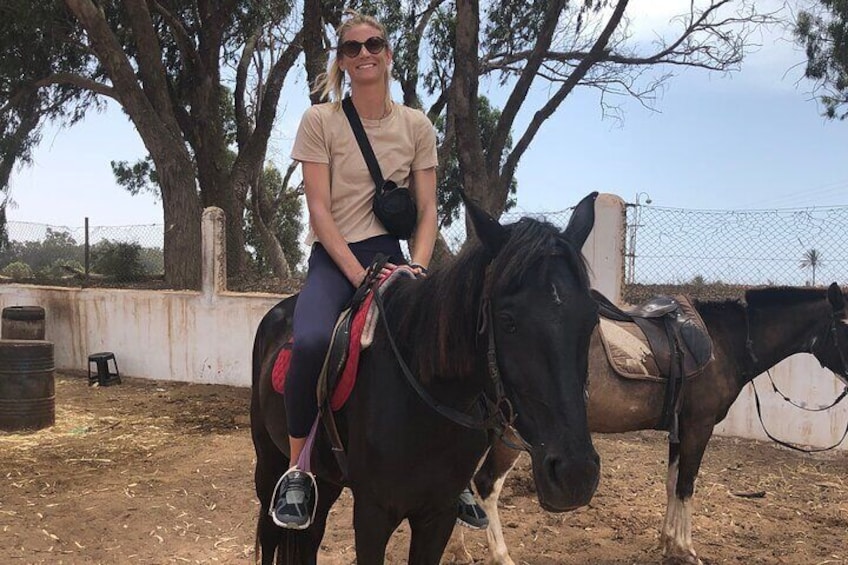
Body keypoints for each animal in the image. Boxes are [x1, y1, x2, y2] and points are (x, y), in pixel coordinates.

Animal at [250, 192, 604, 560]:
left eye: (592, 319)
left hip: (327, 478)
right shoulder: (372, 514)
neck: (424, 401)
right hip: (270, 463)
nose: (575, 474)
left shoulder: (439, 513)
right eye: (508, 321)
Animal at [454, 284, 848, 564]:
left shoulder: (680, 428)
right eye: (846, 327)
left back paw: (461, 550)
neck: (725, 342)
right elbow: (687, 485)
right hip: (511, 434)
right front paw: (686, 549)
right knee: (486, 484)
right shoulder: (699, 426)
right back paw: (501, 556)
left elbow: (672, 483)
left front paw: (668, 542)